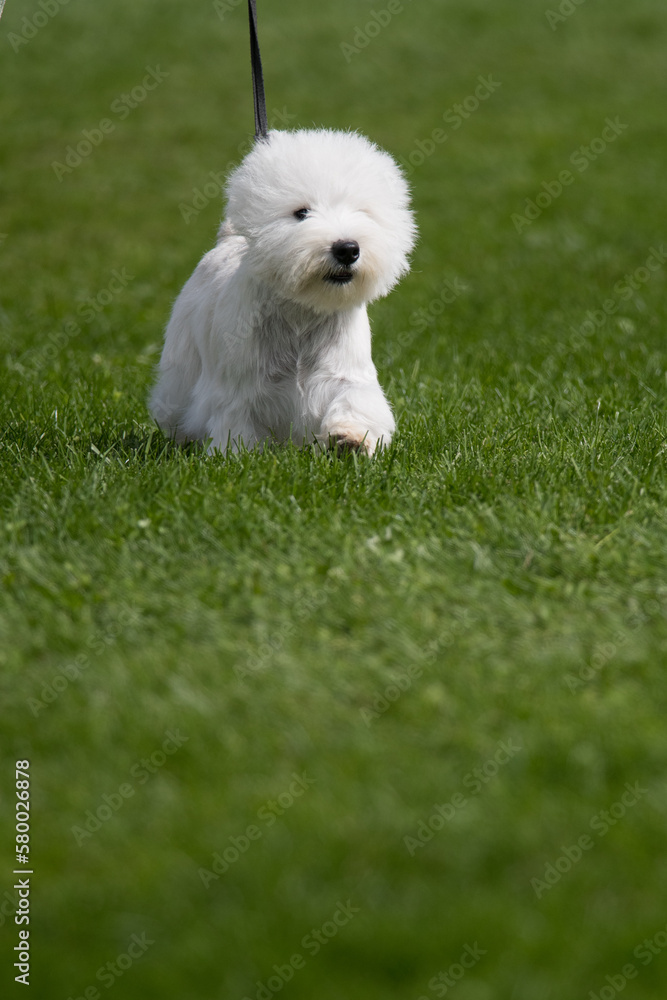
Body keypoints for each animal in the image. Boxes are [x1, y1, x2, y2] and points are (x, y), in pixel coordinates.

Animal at [150, 129, 418, 454]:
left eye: (362, 212)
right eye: (301, 213)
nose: (347, 249)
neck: (303, 310)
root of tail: (227, 239)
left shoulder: (346, 375)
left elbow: (353, 402)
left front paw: (350, 439)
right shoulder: (238, 389)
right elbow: (235, 424)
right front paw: (238, 454)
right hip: (183, 361)